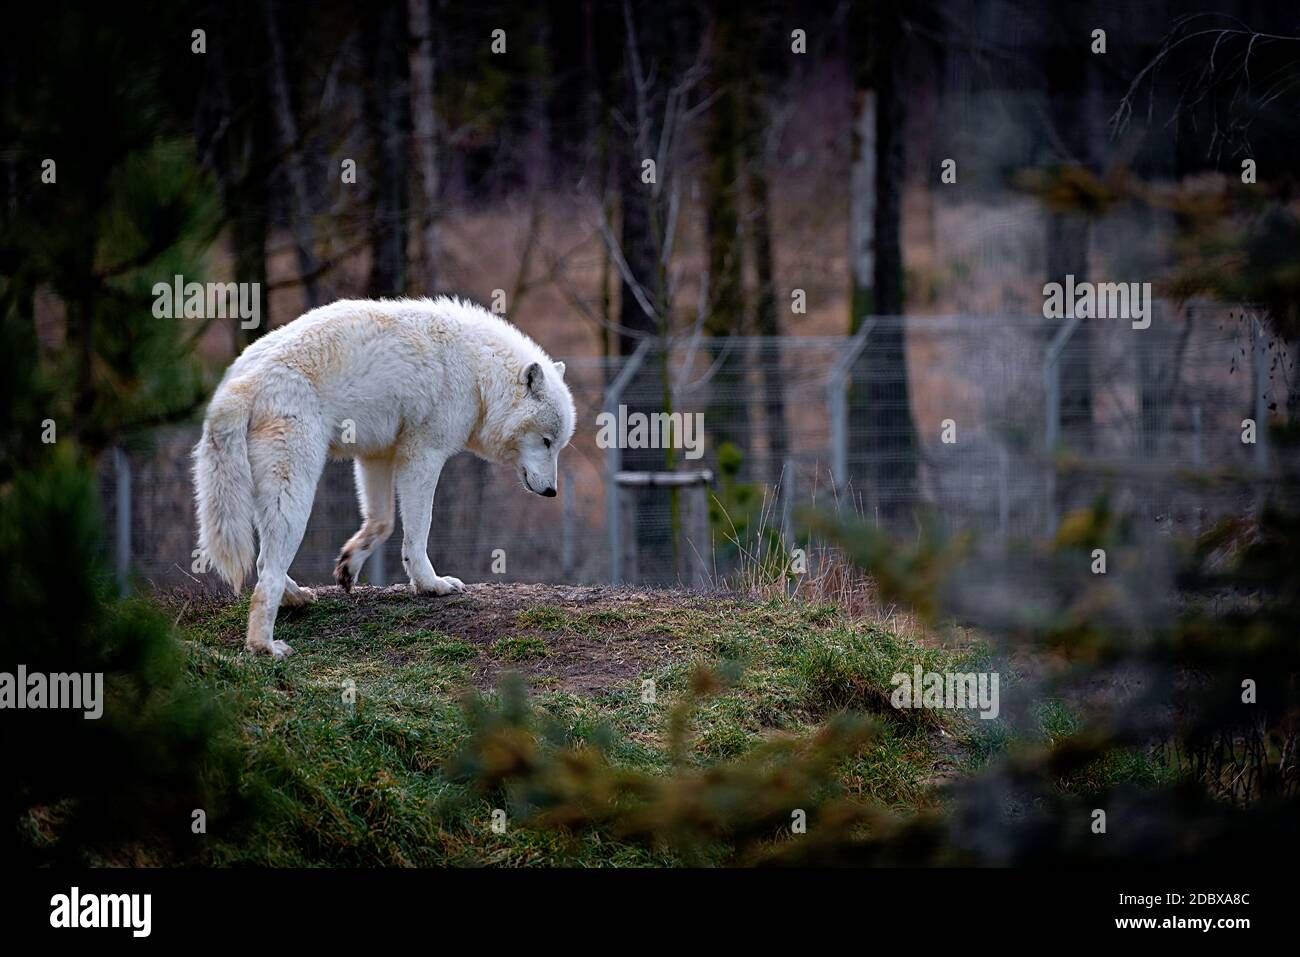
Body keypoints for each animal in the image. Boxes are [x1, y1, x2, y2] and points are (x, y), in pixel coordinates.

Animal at [191, 297, 574, 657]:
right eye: (546, 441)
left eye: (558, 445)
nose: (552, 492)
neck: (479, 374)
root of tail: (242, 383)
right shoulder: (422, 455)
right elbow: (418, 532)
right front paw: (431, 584)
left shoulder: (376, 456)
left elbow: (383, 522)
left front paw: (349, 565)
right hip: (296, 494)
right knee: (265, 573)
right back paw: (264, 646)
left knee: (261, 561)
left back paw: (297, 597)